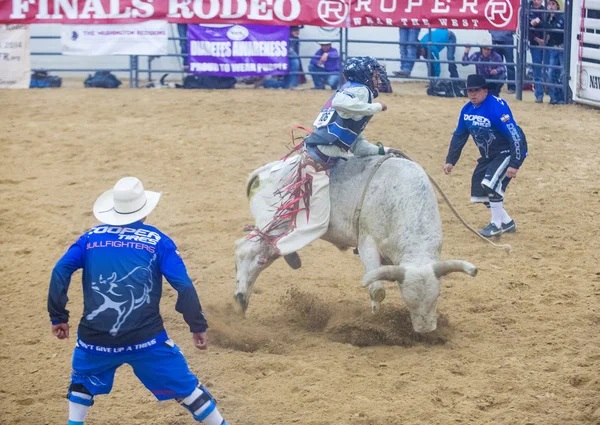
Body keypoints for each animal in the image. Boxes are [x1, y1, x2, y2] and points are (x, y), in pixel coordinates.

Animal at [236, 154, 478, 332]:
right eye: (407, 300)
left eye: (437, 297)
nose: (426, 329)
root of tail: (263, 172)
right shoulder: (367, 243)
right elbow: (377, 290)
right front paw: (374, 316)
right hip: (273, 226)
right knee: (245, 250)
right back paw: (239, 299)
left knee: (259, 258)